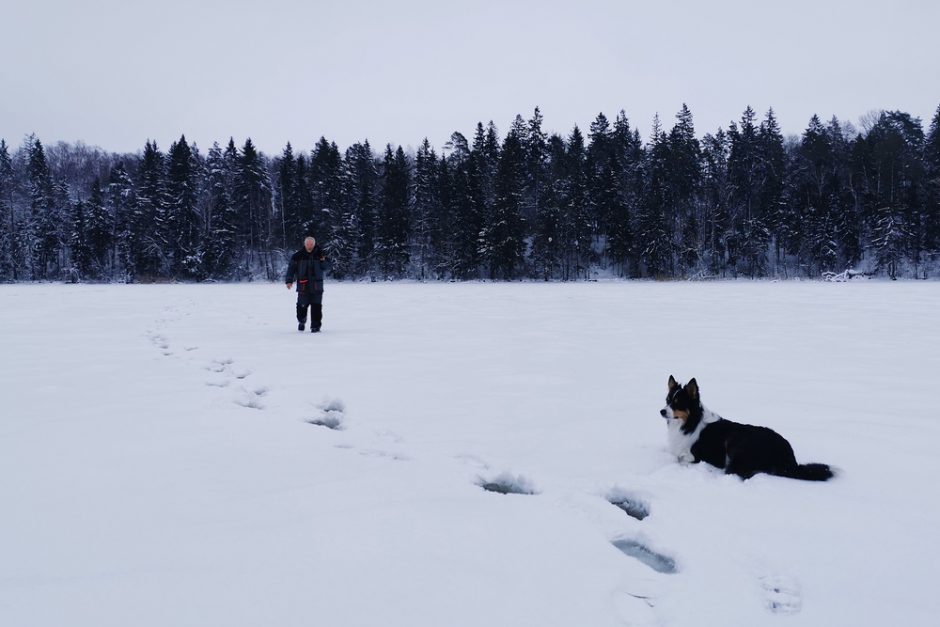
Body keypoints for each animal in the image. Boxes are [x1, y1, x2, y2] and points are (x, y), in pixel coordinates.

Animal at [656, 378, 832, 480]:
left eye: (678, 403)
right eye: (667, 400)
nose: (662, 411)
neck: (690, 422)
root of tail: (789, 459)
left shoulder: (697, 456)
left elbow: (680, 459)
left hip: (735, 442)